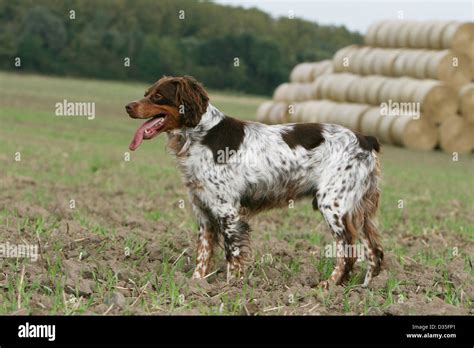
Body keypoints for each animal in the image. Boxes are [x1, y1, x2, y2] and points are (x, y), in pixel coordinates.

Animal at [127, 76, 386, 288]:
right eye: (147, 92)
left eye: (158, 96)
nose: (128, 106)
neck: (201, 134)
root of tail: (365, 139)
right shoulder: (204, 213)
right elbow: (203, 253)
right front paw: (195, 284)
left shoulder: (227, 211)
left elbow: (232, 255)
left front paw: (230, 288)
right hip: (359, 211)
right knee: (375, 252)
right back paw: (362, 289)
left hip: (333, 204)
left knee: (348, 251)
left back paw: (329, 286)